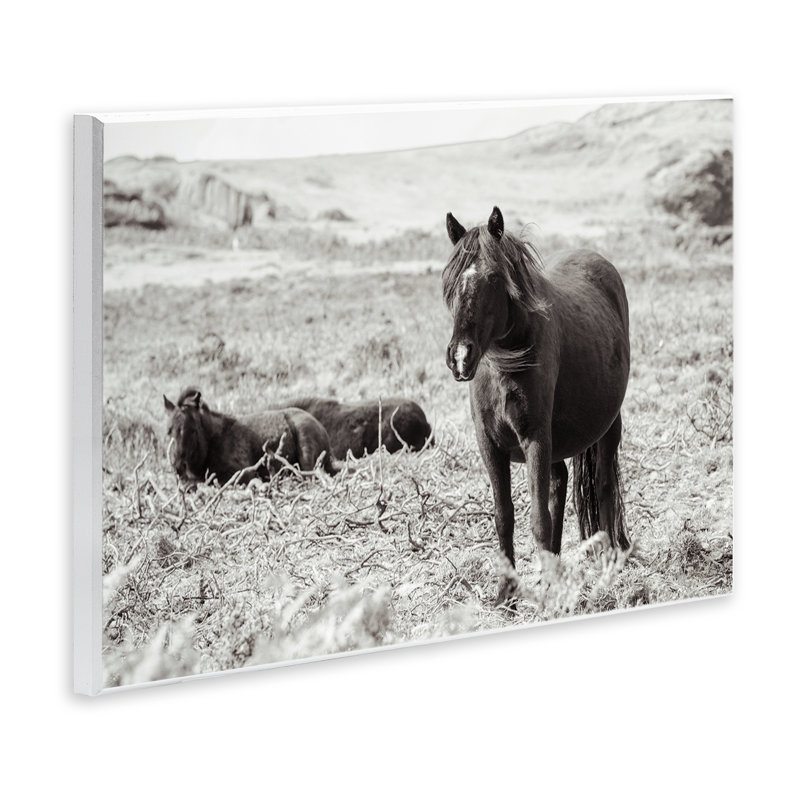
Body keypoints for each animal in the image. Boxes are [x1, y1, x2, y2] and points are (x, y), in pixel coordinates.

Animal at [163, 388, 340, 485]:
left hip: (306, 454)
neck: (215, 441)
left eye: (192, 430)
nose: (178, 466)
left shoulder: (243, 473)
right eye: (169, 431)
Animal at [442, 207, 630, 605]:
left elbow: (538, 517)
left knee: (604, 486)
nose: (461, 356)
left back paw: (608, 560)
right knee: (560, 484)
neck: (504, 366)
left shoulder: (535, 440)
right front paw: (506, 593)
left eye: (494, 277)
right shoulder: (490, 445)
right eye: (449, 281)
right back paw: (553, 568)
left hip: (608, 427)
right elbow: (504, 516)